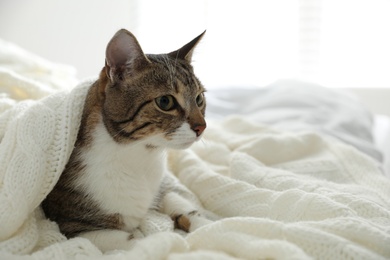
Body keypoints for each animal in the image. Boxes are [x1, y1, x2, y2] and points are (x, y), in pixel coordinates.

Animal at [41, 29, 212, 252]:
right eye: (165, 102)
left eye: (199, 99)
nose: (202, 127)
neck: (140, 157)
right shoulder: (73, 228)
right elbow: (136, 241)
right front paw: (173, 242)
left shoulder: (162, 184)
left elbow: (177, 200)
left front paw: (207, 226)